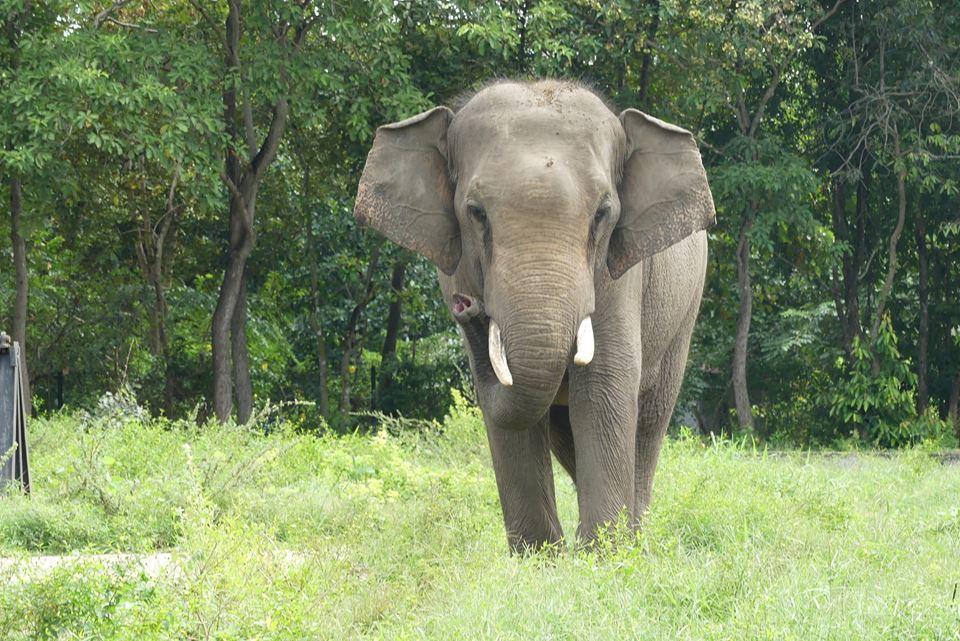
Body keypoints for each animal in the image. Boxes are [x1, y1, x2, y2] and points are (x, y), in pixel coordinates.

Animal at [352, 79, 712, 552]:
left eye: (603, 213)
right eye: (476, 212)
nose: (466, 306)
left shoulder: (617, 277)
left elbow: (603, 387)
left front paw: (604, 556)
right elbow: (512, 406)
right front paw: (540, 557)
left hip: (683, 315)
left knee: (649, 423)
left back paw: (633, 537)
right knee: (561, 430)